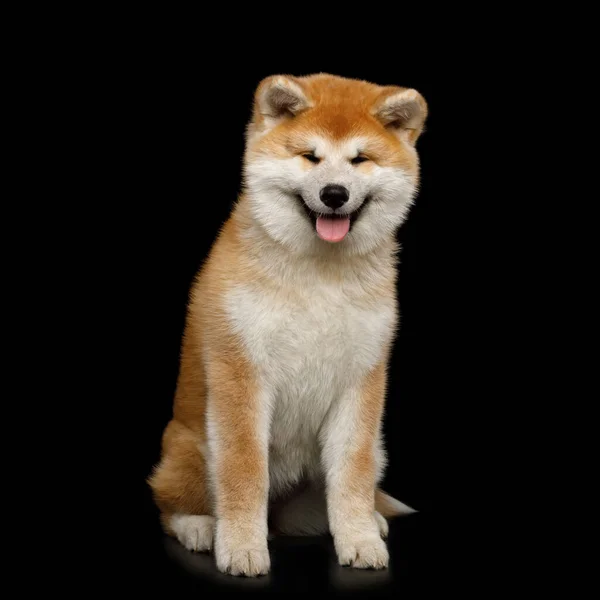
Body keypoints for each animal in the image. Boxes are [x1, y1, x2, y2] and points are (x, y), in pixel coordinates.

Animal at [148, 71, 426, 576]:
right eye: (310, 156)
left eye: (360, 159)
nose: (334, 193)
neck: (319, 274)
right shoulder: (242, 371)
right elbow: (243, 469)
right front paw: (241, 547)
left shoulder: (360, 380)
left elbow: (352, 473)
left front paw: (359, 539)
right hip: (189, 449)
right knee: (171, 504)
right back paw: (199, 526)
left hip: (369, 452)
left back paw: (370, 520)